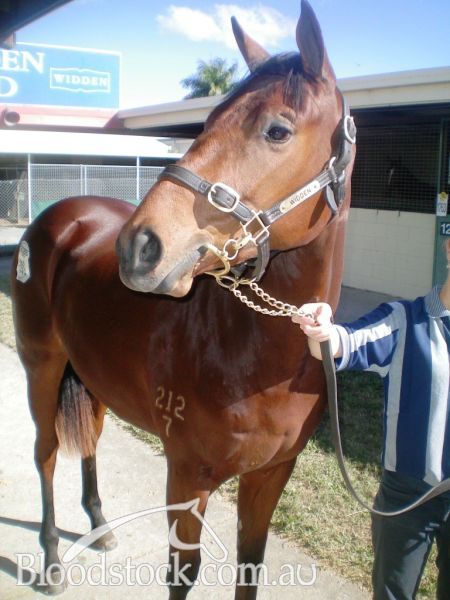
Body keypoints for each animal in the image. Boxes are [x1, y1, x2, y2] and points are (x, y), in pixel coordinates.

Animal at [11, 1, 355, 598]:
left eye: (278, 130)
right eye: (208, 121)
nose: (139, 246)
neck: (254, 351)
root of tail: (61, 216)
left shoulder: (270, 477)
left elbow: (250, 565)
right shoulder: (188, 476)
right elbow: (183, 573)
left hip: (91, 375)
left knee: (90, 440)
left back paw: (100, 526)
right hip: (42, 367)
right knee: (46, 453)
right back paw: (53, 560)